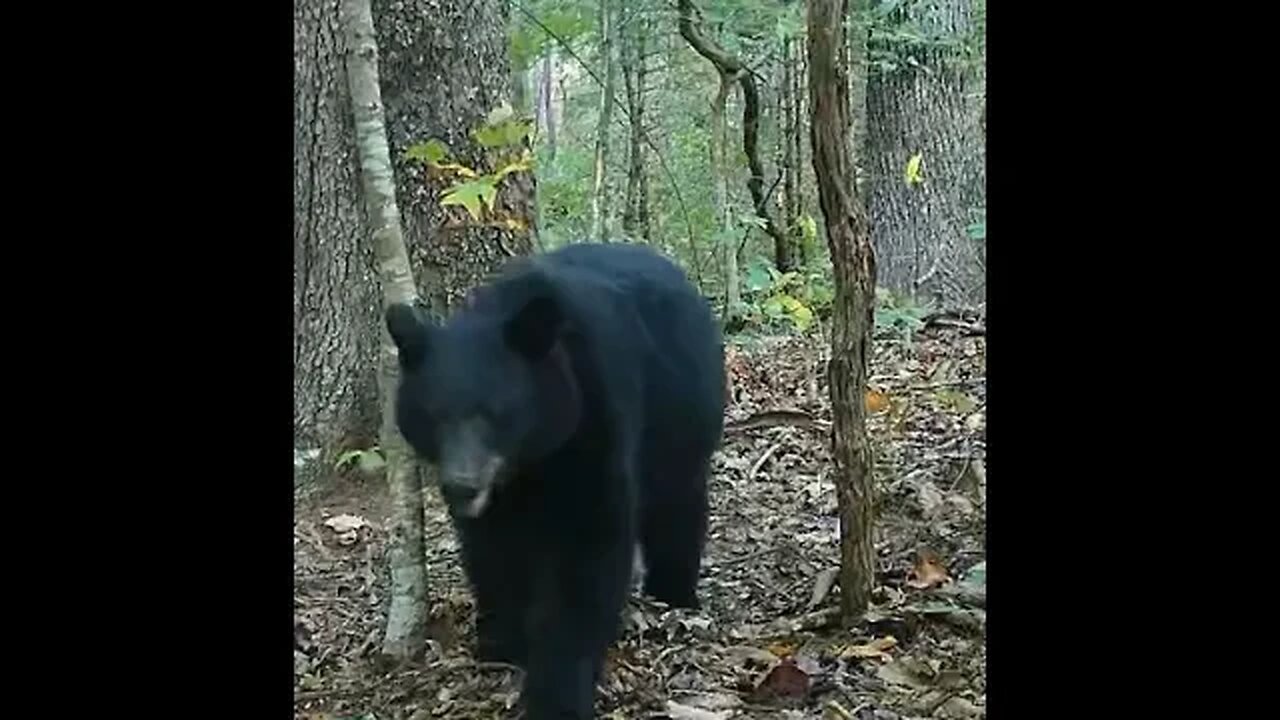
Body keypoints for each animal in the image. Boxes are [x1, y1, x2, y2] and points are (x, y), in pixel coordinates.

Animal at [384, 242, 727, 717]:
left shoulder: (594, 423)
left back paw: (674, 590)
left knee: (678, 504)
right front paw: (503, 638)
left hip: (682, 416)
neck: (526, 463)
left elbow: (585, 559)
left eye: (494, 413)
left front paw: (557, 691)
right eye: (433, 416)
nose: (461, 486)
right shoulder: (497, 503)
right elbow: (492, 552)